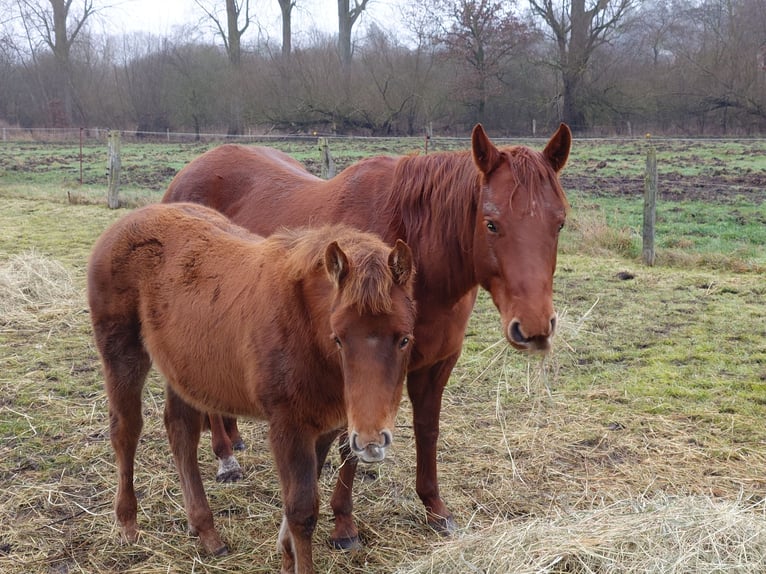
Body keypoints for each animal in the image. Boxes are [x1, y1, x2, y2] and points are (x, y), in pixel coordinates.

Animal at [87, 203, 416, 573]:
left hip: (182, 369)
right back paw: (128, 524)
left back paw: (205, 531)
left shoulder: (325, 426)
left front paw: (285, 555)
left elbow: (298, 498)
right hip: (122, 351)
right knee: (126, 430)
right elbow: (302, 511)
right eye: (338, 338)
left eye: (404, 339)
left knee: (180, 432)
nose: (372, 441)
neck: (305, 324)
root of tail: (126, 222)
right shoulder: (288, 426)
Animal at [163, 123, 572, 548]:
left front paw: (435, 509)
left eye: (559, 223)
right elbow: (349, 443)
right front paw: (344, 524)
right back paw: (225, 458)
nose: (534, 328)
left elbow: (427, 430)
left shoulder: (436, 364)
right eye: (491, 223)